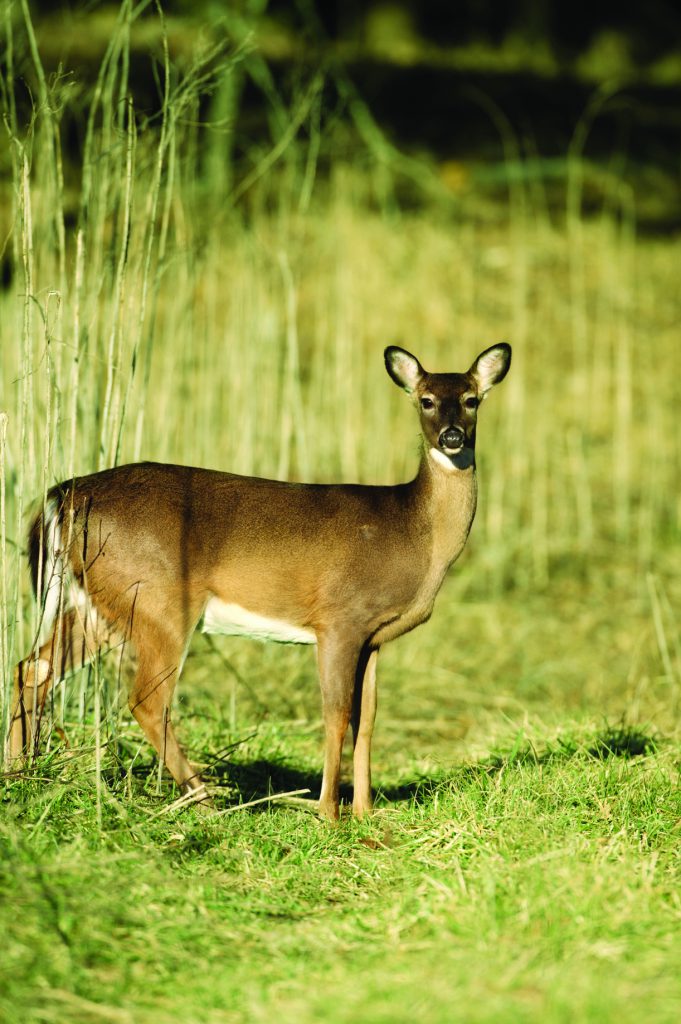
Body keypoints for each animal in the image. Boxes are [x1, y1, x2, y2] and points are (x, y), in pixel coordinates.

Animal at [9, 342, 509, 815]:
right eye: (426, 400)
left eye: (471, 399)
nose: (451, 436)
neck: (411, 531)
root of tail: (63, 496)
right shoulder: (340, 618)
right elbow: (336, 714)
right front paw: (329, 812)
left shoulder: (374, 636)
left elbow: (366, 719)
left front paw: (367, 812)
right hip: (157, 601)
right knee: (147, 700)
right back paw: (205, 800)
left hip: (98, 602)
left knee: (32, 668)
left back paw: (20, 773)